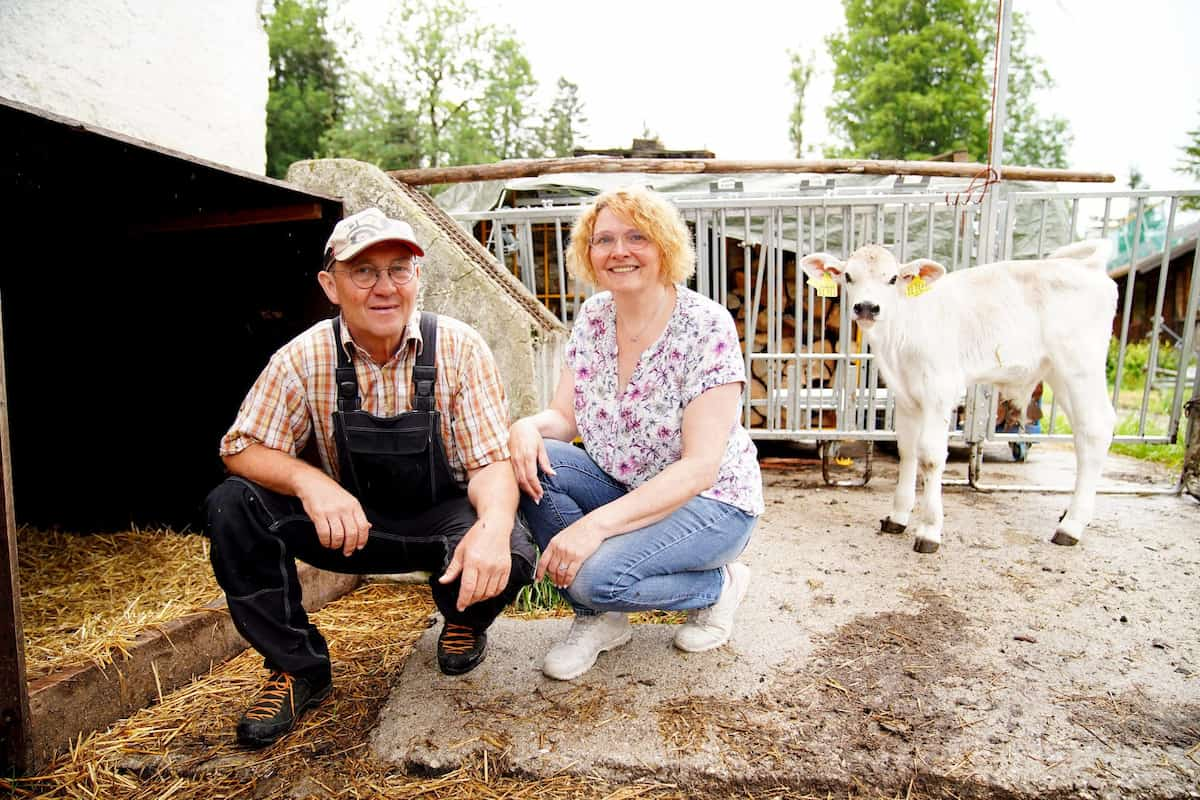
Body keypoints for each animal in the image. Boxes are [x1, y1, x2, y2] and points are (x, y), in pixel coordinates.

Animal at [801, 241, 1118, 554]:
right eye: (848, 276)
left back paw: (1071, 526)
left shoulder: (939, 392)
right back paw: (1070, 515)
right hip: (1058, 372)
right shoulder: (905, 398)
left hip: (1080, 367)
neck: (902, 331)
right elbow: (907, 451)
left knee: (1096, 429)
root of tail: (1089, 267)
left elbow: (930, 457)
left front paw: (930, 530)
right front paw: (898, 517)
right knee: (1084, 434)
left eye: (892, 278)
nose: (867, 307)